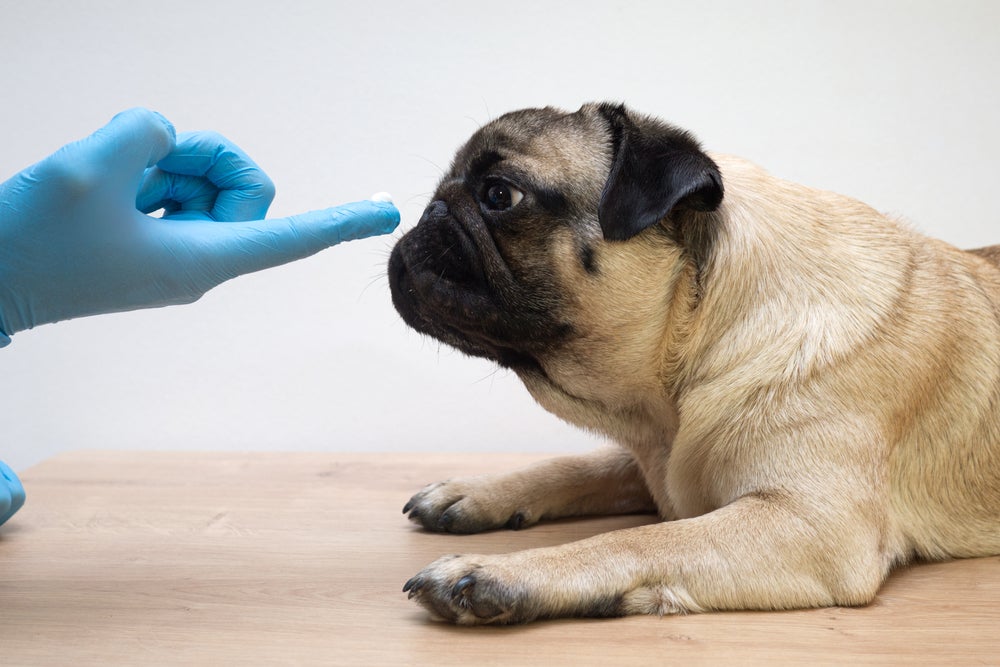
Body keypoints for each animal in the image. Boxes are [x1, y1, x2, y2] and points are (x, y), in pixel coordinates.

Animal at [384, 102, 1000, 624]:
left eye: (498, 195)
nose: (429, 211)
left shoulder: (809, 524)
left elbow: (643, 538)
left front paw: (503, 572)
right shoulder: (657, 454)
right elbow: (580, 466)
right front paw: (479, 491)